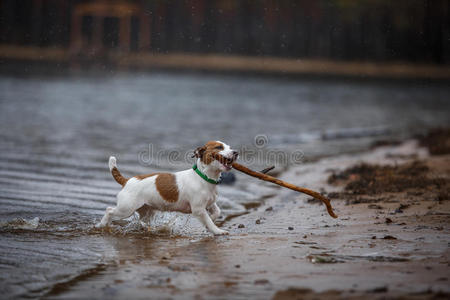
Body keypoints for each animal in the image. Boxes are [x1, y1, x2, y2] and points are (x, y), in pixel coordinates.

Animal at [96, 139, 239, 236]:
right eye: (219, 147)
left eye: (230, 147)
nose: (236, 152)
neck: (204, 177)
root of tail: (127, 181)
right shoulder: (198, 209)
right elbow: (208, 220)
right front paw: (217, 230)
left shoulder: (209, 204)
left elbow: (216, 213)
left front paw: (210, 223)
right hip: (126, 209)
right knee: (109, 210)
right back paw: (101, 225)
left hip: (146, 211)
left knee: (142, 221)